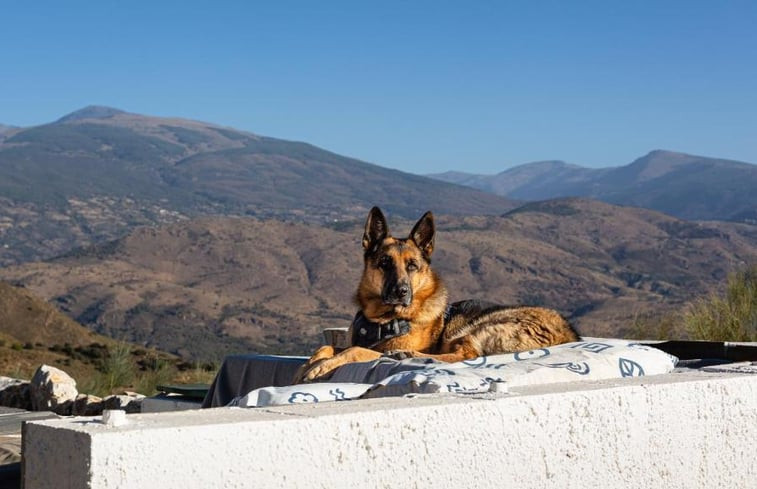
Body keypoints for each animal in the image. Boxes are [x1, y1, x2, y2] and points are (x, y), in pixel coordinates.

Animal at [292, 206, 576, 382]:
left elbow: (353, 351)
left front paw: (321, 366)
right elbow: (327, 345)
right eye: (384, 263)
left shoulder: (370, 349)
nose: (401, 291)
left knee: (466, 355)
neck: (382, 320)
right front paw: (309, 364)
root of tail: (568, 333)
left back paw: (408, 355)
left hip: (477, 327)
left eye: (412, 265)